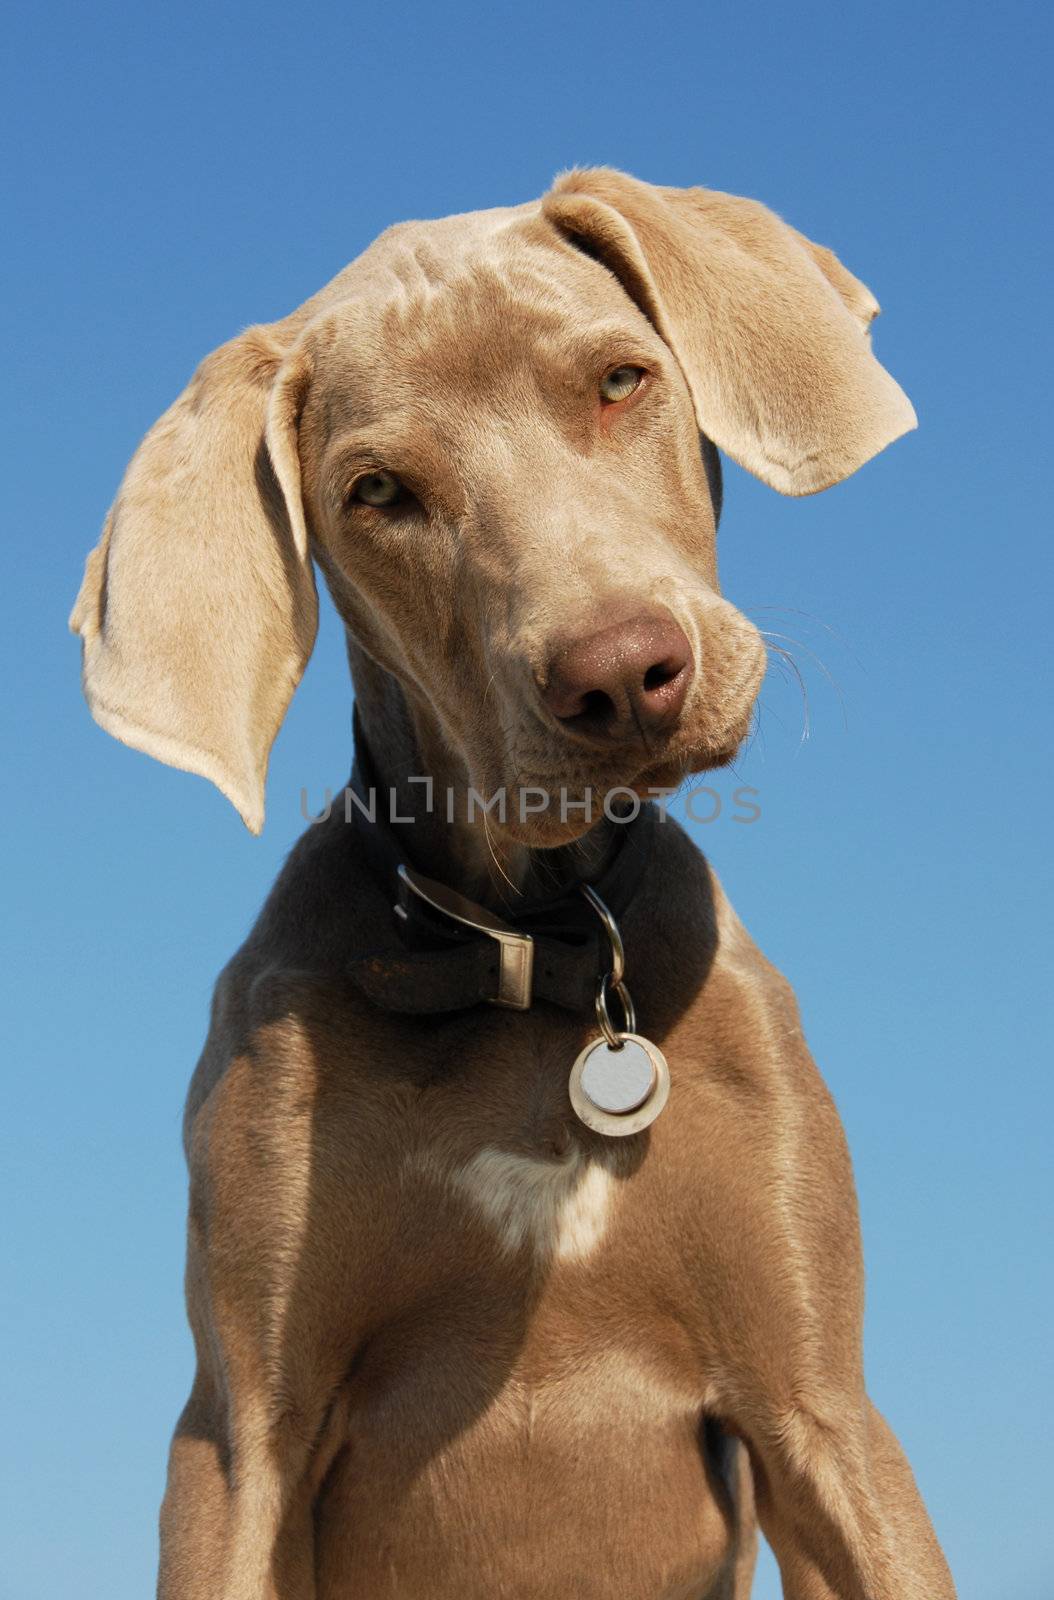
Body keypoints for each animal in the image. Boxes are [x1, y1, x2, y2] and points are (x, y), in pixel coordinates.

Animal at [67, 168, 959, 1593]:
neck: (532, 950)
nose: (620, 675)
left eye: (619, 381)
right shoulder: (239, 1430)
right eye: (377, 491)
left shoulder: (819, 1402)